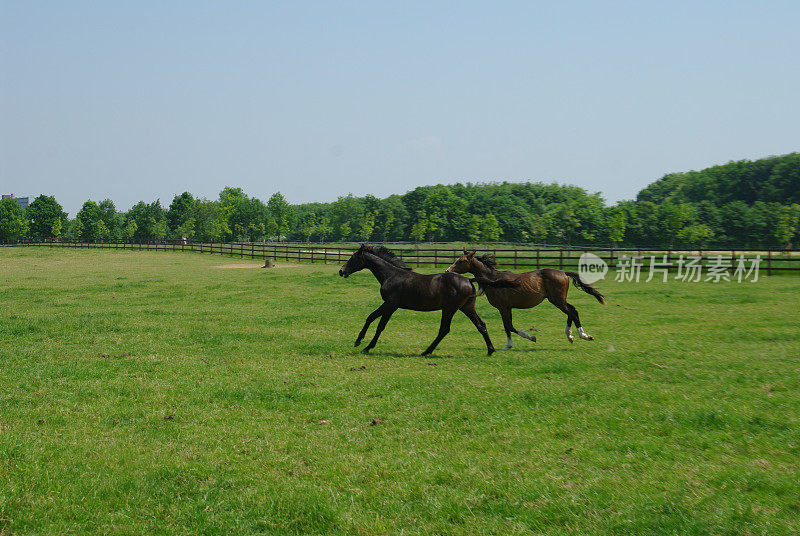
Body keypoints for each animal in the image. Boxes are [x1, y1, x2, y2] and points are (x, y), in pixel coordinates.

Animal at [338, 246, 506, 356]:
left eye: (353, 258)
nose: (341, 271)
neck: (391, 275)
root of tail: (469, 279)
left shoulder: (391, 304)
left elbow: (376, 322)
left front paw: (362, 344)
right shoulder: (391, 306)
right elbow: (374, 320)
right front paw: (363, 343)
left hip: (450, 308)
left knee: (444, 329)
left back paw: (426, 351)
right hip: (467, 307)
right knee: (481, 325)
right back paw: (490, 350)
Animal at [444, 250, 608, 348]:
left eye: (461, 261)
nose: (447, 271)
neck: (494, 280)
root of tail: (563, 272)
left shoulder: (503, 308)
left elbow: (508, 326)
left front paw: (525, 339)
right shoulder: (507, 308)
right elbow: (509, 326)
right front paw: (512, 344)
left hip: (557, 300)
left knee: (572, 312)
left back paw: (584, 335)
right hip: (558, 300)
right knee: (572, 311)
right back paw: (570, 336)